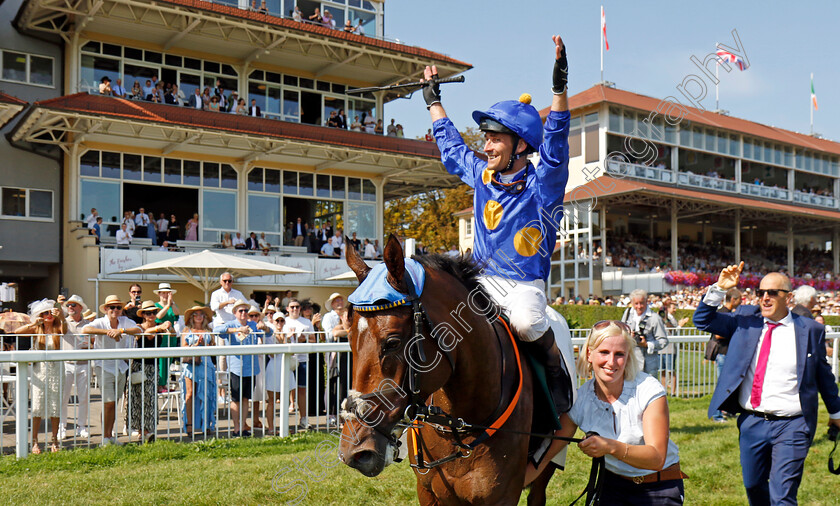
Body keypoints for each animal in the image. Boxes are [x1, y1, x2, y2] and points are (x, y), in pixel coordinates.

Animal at [338, 235, 560, 504]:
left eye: (392, 342)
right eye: (349, 338)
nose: (355, 451)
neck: (461, 426)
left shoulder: (503, 495)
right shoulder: (428, 491)